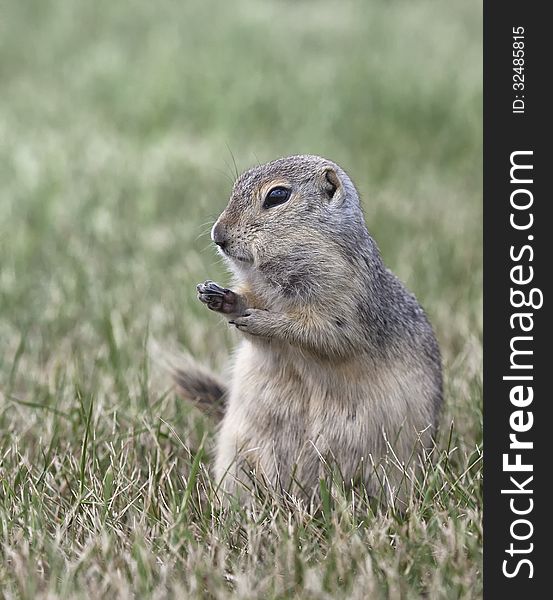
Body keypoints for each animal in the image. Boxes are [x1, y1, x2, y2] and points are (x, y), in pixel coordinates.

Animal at [175, 155, 442, 506]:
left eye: (277, 196)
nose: (218, 236)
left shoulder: (344, 308)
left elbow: (317, 333)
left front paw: (262, 320)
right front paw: (220, 297)